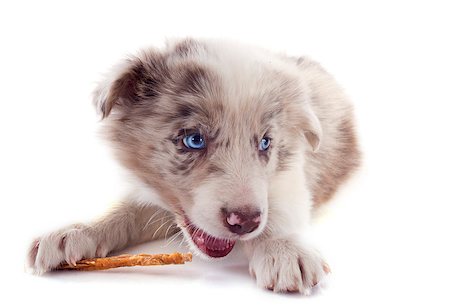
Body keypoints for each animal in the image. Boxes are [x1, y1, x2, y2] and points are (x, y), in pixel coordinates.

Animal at [28, 38, 360, 294]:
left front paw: (284, 249)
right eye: (194, 140)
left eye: (266, 143)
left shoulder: (291, 176)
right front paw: (77, 231)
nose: (245, 222)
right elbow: (126, 210)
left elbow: (280, 209)